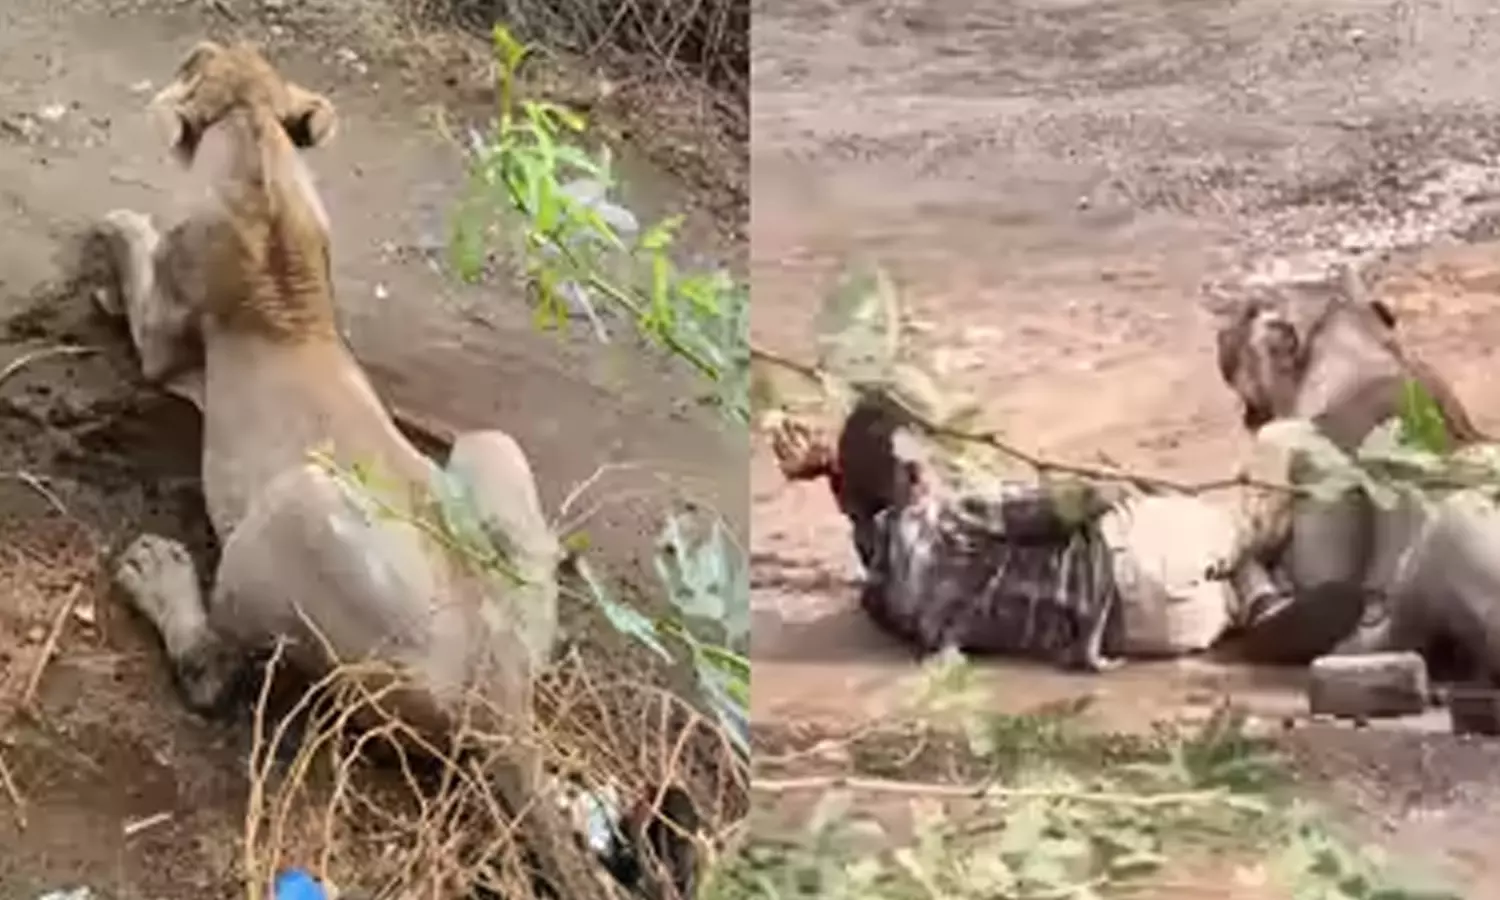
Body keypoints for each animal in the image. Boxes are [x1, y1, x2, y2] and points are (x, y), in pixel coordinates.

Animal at [91, 41, 695, 899]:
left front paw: (114, 226)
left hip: (295, 507)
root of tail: (498, 691)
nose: (198, 47)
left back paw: (156, 571)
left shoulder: (158, 336)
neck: (261, 156)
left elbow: (137, 253)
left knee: (215, 674)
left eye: (193, 64)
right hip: (492, 448)